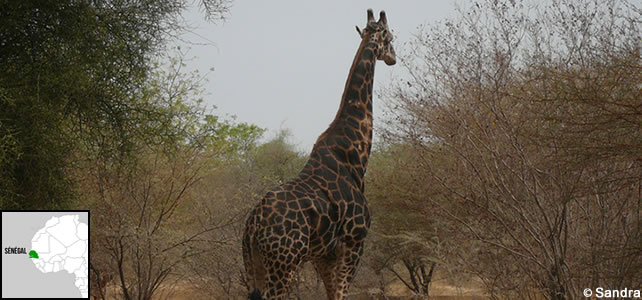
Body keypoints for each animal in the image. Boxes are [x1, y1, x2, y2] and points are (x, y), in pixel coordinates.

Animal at [241, 9, 396, 300]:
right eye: (391, 37)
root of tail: (253, 225)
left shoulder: (324, 255)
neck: (356, 155)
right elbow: (341, 294)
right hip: (284, 263)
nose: (394, 57)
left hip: (252, 263)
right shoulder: (354, 242)